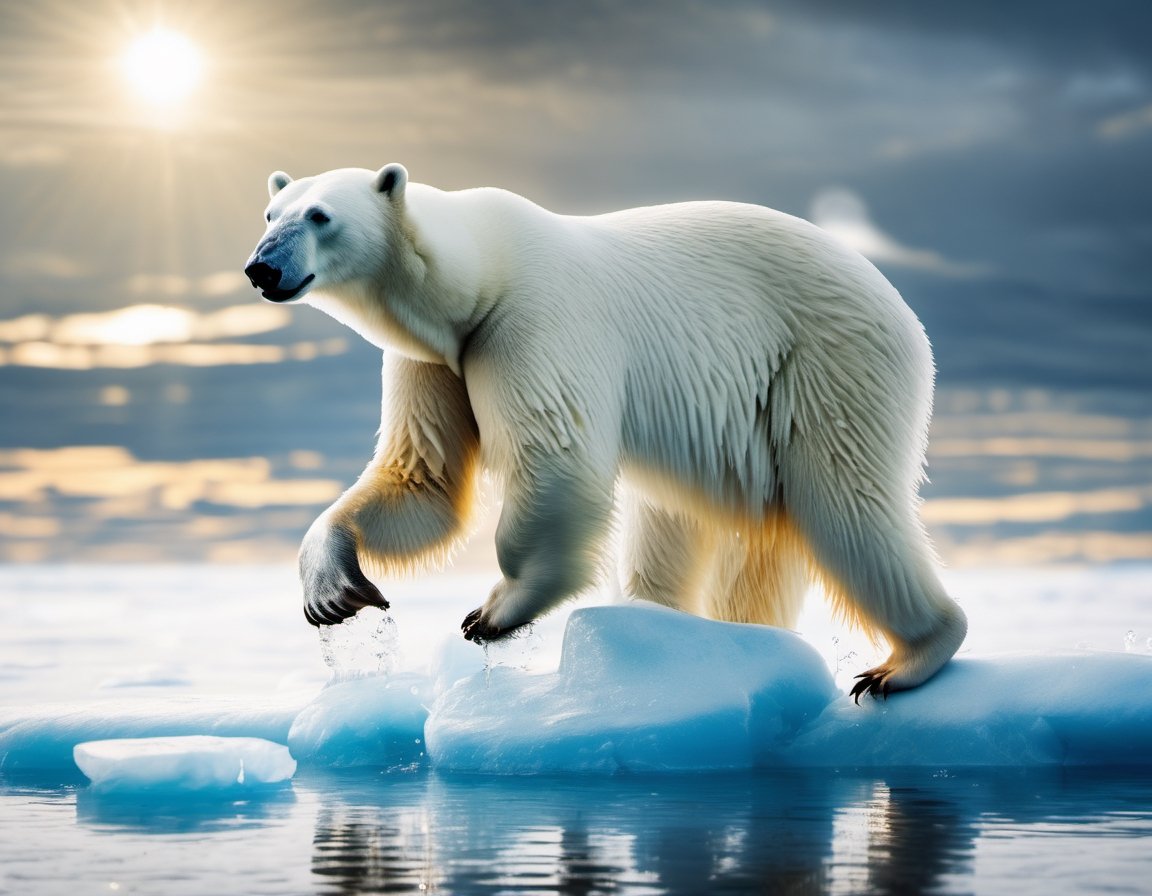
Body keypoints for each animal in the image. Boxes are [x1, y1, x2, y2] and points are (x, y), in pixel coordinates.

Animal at [245, 168, 972, 700]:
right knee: (698, 525)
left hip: (828, 365)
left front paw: (497, 611)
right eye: (271, 215)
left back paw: (905, 660)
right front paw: (333, 587)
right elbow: (423, 477)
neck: (475, 277)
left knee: (845, 507)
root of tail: (896, 304)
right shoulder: (437, 359)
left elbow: (556, 463)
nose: (261, 268)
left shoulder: (530, 323)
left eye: (320, 216)